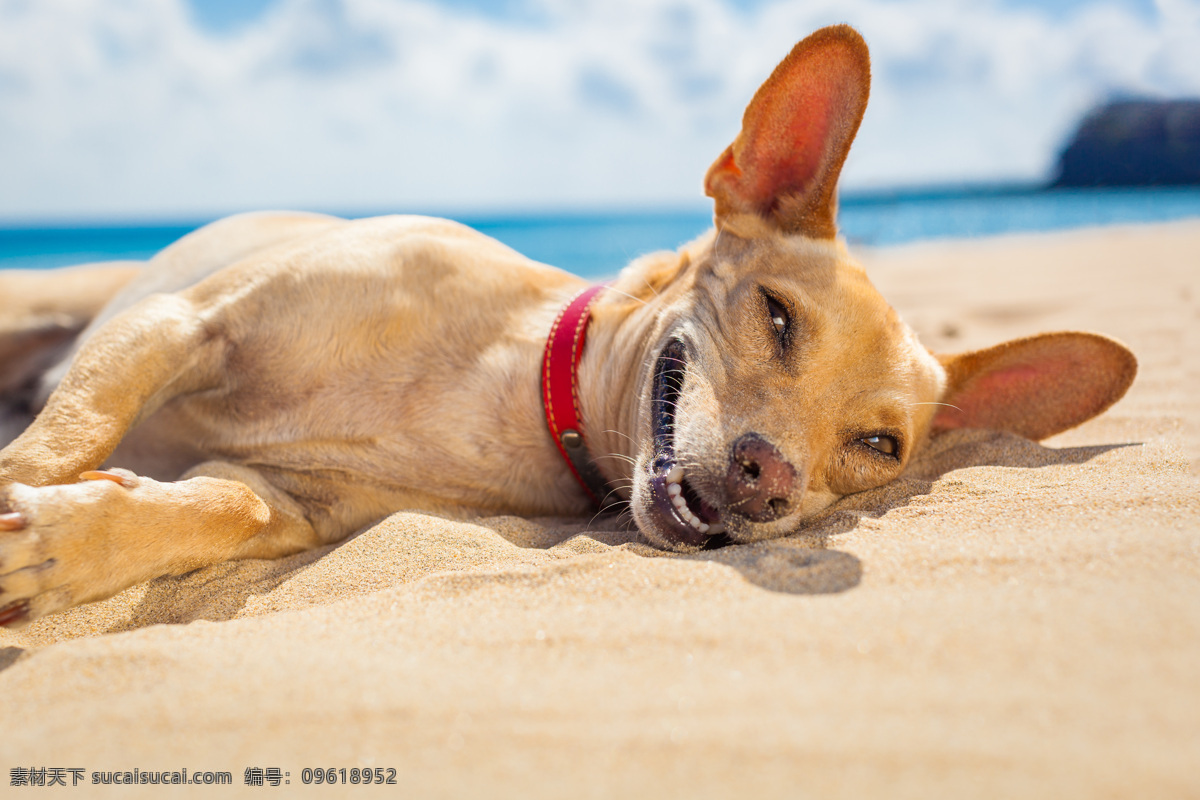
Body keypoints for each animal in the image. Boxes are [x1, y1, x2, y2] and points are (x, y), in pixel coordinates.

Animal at [0, 25, 1132, 628]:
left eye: (879, 446)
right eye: (775, 316)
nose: (769, 478)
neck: (503, 384)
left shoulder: (285, 502)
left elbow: (202, 510)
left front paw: (62, 546)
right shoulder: (182, 322)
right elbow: (66, 438)